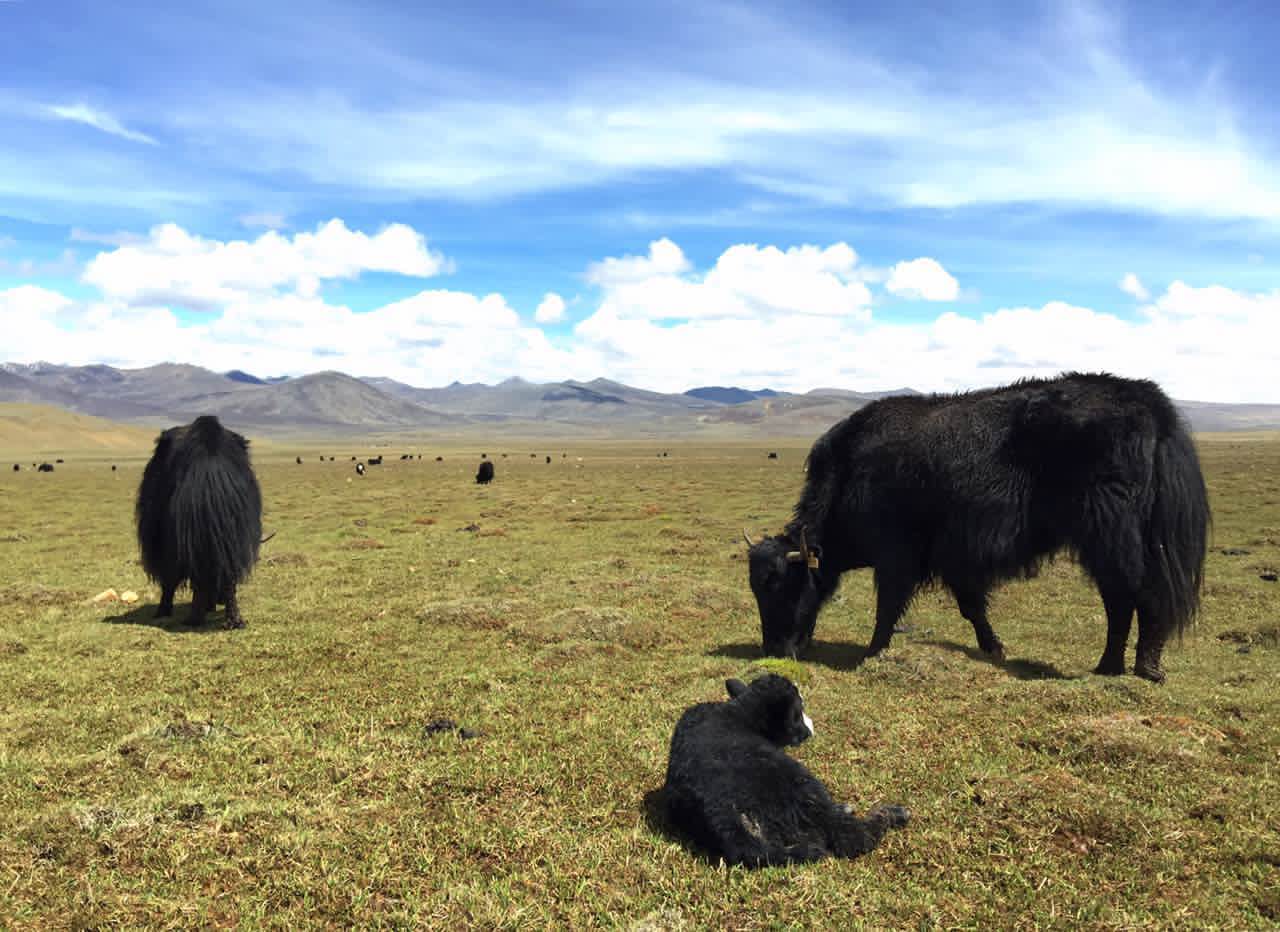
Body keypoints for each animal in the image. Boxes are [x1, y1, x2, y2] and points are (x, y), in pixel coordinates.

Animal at [660, 675, 911, 865]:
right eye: (797, 712)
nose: (811, 728)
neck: (739, 712)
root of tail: (725, 819)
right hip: (802, 784)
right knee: (852, 836)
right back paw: (893, 813)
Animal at [747, 373, 1203, 686]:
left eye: (784, 585)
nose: (774, 649)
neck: (847, 475)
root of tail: (1147, 401)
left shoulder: (898, 554)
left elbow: (889, 604)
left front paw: (874, 652)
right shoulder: (955, 559)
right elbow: (972, 607)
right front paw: (995, 648)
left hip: (1111, 536)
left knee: (1131, 596)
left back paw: (1127, 667)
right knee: (1130, 596)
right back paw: (1124, 666)